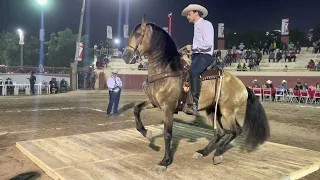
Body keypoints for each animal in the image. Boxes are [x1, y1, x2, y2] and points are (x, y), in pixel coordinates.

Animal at [122, 14, 270, 171]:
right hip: (212, 111)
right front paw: (148, 134)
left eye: (138, 34)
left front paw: (165, 161)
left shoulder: (168, 108)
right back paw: (203, 152)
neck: (167, 70)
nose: (126, 56)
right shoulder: (155, 103)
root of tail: (243, 86)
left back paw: (217, 154)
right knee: (220, 132)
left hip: (227, 111)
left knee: (236, 130)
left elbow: (168, 134)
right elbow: (136, 109)